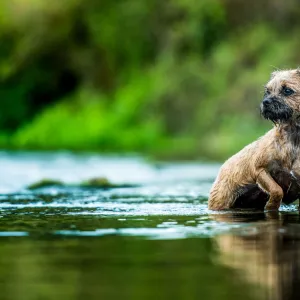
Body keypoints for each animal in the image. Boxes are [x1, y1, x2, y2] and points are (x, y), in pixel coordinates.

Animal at [209, 69, 300, 210]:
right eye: (267, 91)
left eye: (287, 90)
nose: (265, 102)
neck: (294, 138)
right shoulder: (259, 169)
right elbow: (276, 189)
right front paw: (271, 205)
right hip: (221, 200)